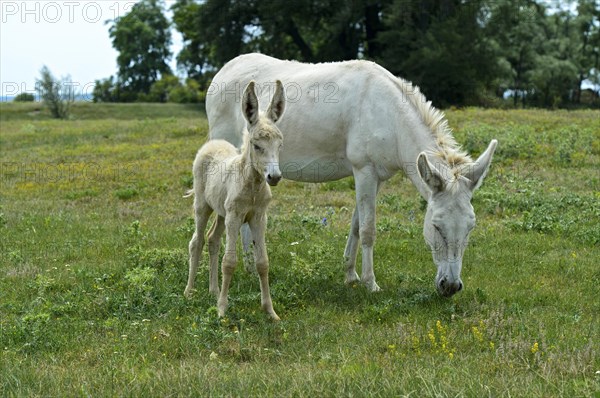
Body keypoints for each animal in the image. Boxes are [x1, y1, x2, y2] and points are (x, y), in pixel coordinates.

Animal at [183, 79, 286, 318]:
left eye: (280, 144)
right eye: (257, 146)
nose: (274, 177)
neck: (253, 188)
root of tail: (212, 144)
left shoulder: (259, 217)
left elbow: (263, 263)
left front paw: (270, 311)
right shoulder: (235, 216)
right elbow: (229, 262)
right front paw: (221, 310)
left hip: (221, 211)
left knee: (212, 239)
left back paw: (213, 290)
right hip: (203, 205)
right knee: (197, 241)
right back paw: (189, 291)